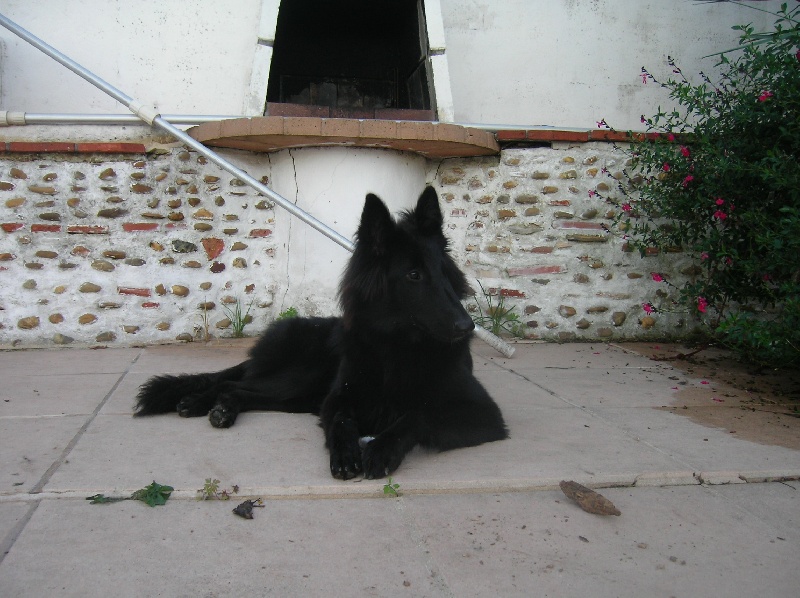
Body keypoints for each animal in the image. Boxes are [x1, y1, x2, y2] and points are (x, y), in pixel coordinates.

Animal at [134, 190, 504, 480]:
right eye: (414, 275)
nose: (467, 327)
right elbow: (341, 421)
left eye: (444, 271)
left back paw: (219, 408)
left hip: (300, 396)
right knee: (229, 382)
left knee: (238, 389)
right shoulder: (337, 398)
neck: (395, 347)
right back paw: (201, 403)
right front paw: (346, 454)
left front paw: (381, 449)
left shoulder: (483, 413)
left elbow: (418, 414)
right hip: (302, 380)